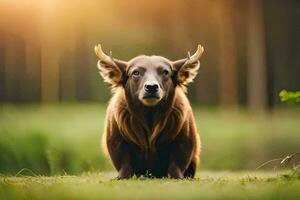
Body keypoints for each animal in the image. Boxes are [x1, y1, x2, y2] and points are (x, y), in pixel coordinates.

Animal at [96, 44, 204, 179]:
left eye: (165, 72)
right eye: (135, 72)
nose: (151, 87)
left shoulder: (185, 139)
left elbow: (177, 163)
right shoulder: (115, 139)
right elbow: (123, 163)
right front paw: (120, 177)